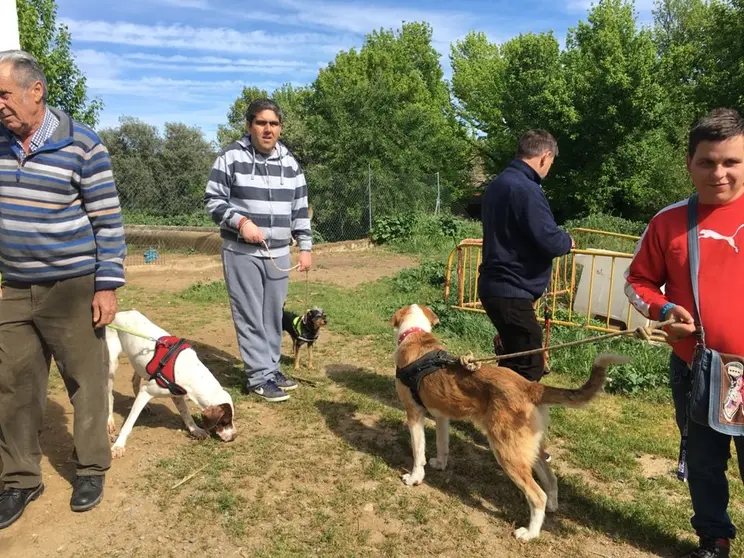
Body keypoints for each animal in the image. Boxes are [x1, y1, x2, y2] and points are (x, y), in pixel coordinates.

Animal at [104, 310, 237, 460]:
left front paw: (196, 430)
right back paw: (109, 421)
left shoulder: (176, 394)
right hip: (112, 364)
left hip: (139, 365)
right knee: (110, 395)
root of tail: (120, 312)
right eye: (225, 421)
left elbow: (186, 415)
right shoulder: (146, 392)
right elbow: (128, 424)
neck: (190, 370)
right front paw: (118, 445)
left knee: (134, 382)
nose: (234, 436)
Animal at [392, 306, 632, 544]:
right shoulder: (442, 416)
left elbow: (418, 453)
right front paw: (440, 465)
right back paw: (552, 507)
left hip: (507, 451)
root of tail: (530, 387)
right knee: (551, 479)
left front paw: (414, 478)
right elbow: (442, 445)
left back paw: (530, 533)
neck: (415, 335)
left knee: (537, 495)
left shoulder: (414, 414)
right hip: (529, 449)